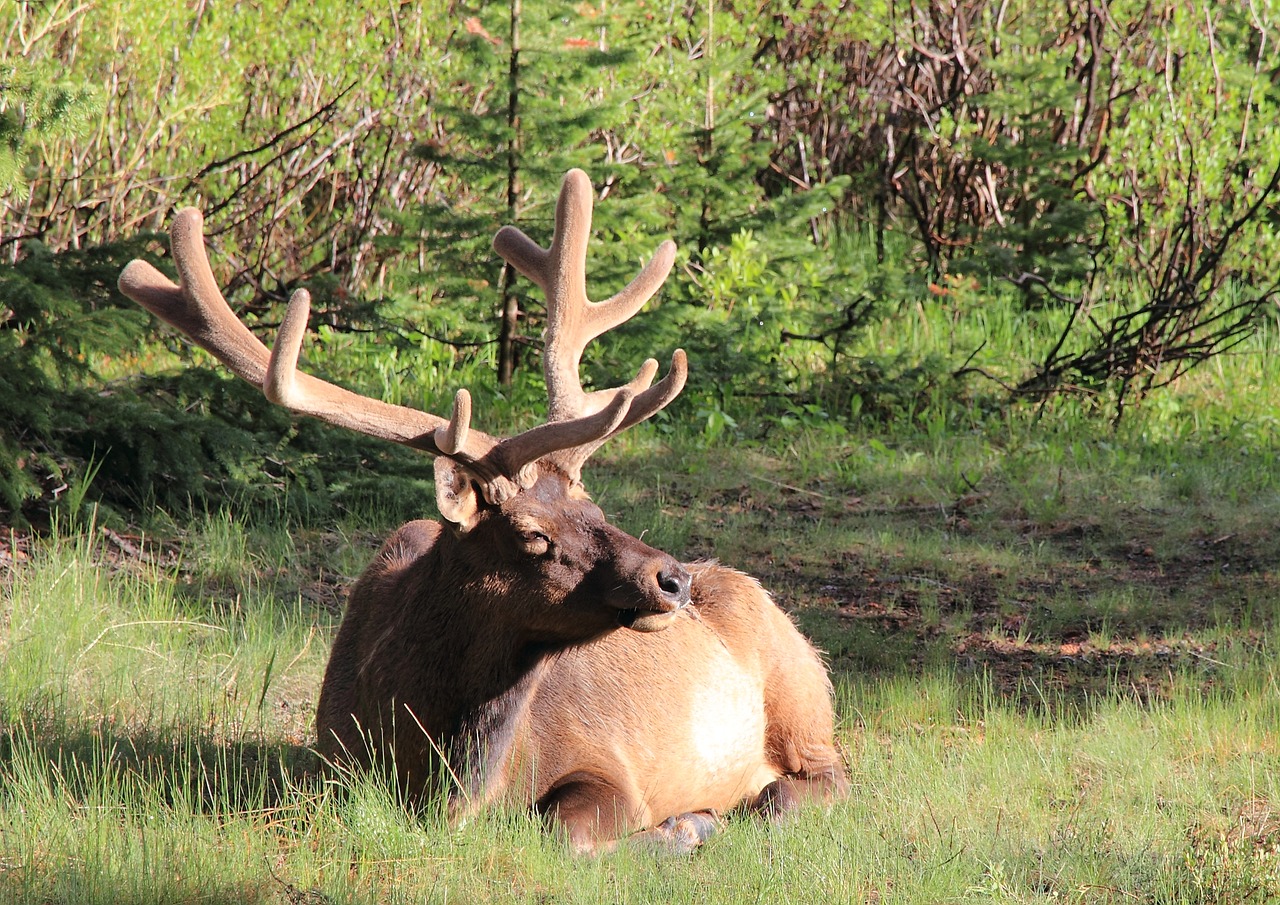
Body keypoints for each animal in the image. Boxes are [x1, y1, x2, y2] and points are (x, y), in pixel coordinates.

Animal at [115, 170, 844, 855]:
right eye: (532, 534)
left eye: (595, 505)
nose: (673, 579)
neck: (437, 771)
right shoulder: (326, 764)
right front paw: (689, 824)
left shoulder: (612, 762)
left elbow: (564, 831)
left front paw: (689, 823)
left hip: (804, 699)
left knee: (816, 781)